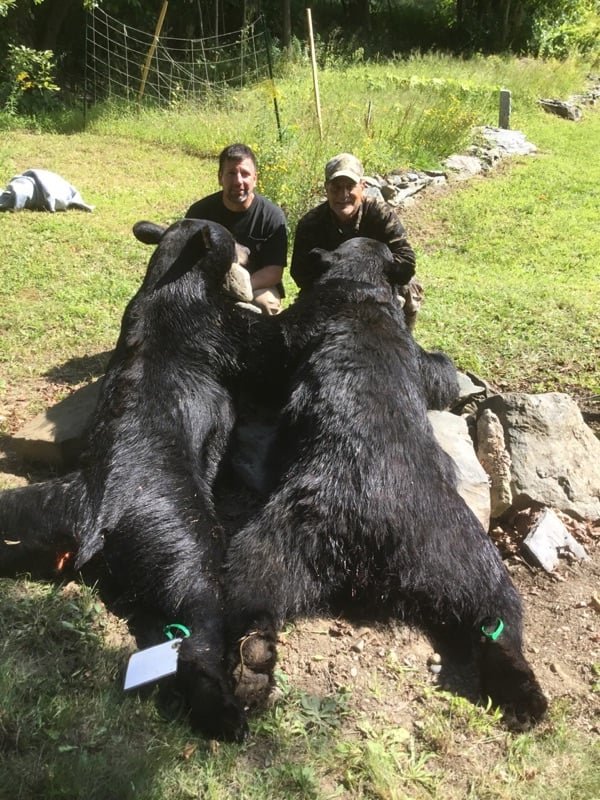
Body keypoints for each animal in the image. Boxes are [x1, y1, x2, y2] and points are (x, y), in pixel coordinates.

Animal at [0, 217, 254, 742]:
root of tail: (93, 514)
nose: (246, 248)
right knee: (195, 629)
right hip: (187, 540)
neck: (171, 283)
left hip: (33, 509)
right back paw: (228, 715)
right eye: (227, 233)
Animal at [223, 237, 548, 729]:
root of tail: (375, 538)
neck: (359, 287)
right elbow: (438, 373)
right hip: (452, 549)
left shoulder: (298, 331)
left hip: (300, 530)